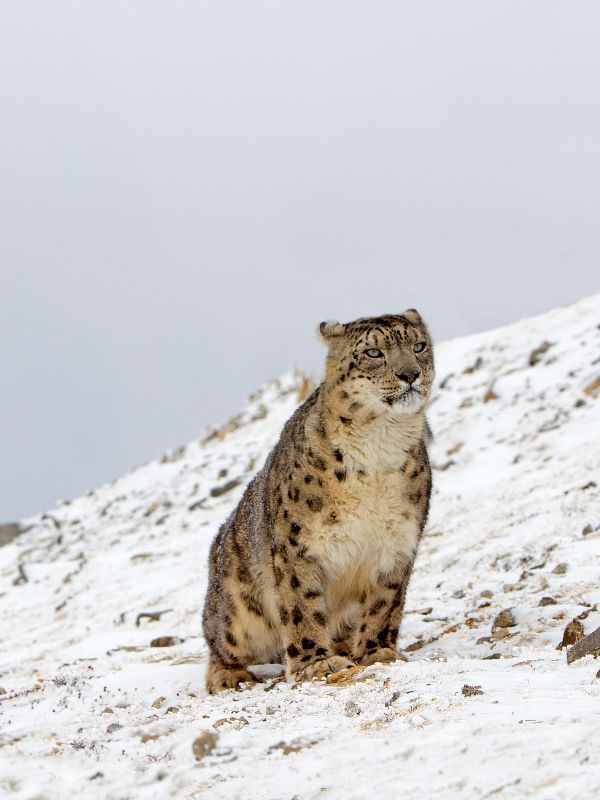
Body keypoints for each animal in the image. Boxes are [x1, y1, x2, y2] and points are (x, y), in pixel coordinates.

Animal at [202, 309, 434, 692]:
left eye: (419, 346)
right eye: (373, 353)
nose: (410, 373)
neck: (380, 446)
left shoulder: (398, 542)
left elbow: (385, 603)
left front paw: (378, 652)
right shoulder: (299, 546)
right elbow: (303, 606)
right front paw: (316, 664)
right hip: (238, 610)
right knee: (219, 638)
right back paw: (229, 675)